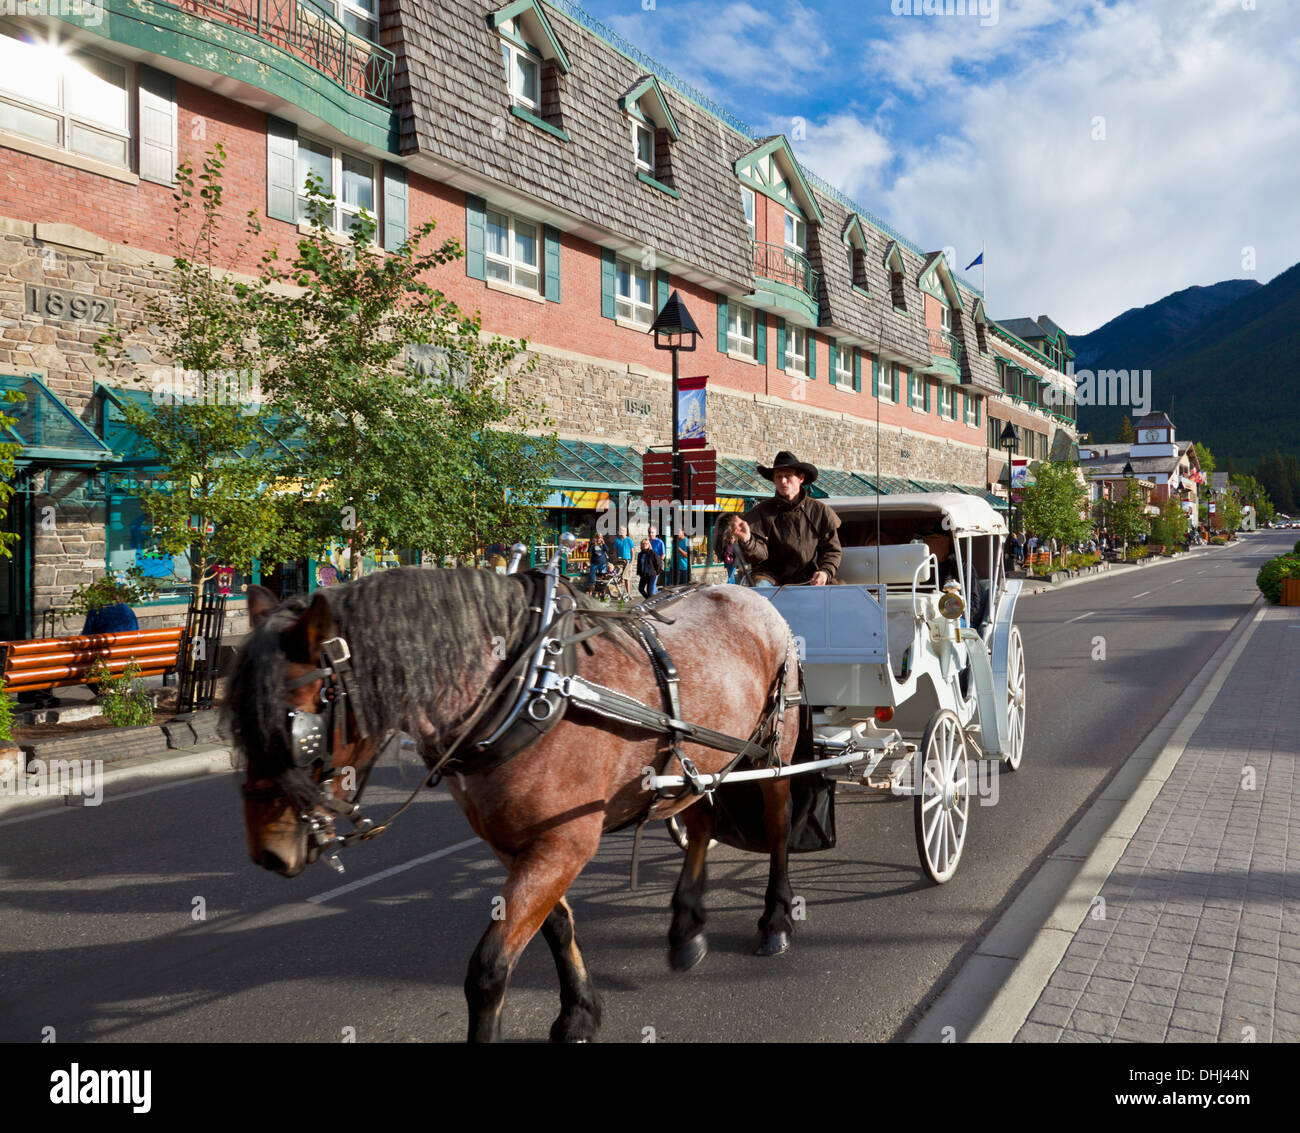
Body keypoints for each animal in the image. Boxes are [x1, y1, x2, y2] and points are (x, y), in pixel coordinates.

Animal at [230, 571, 806, 1039]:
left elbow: (489, 969)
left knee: (778, 829)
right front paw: (578, 1014)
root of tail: (751, 592)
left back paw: (776, 920)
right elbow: (557, 926)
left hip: (773, 749)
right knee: (702, 821)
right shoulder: (516, 843)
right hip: (696, 766)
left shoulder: (564, 841)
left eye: (300, 729)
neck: (527, 686)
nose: (270, 853)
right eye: (238, 723)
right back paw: (687, 928)